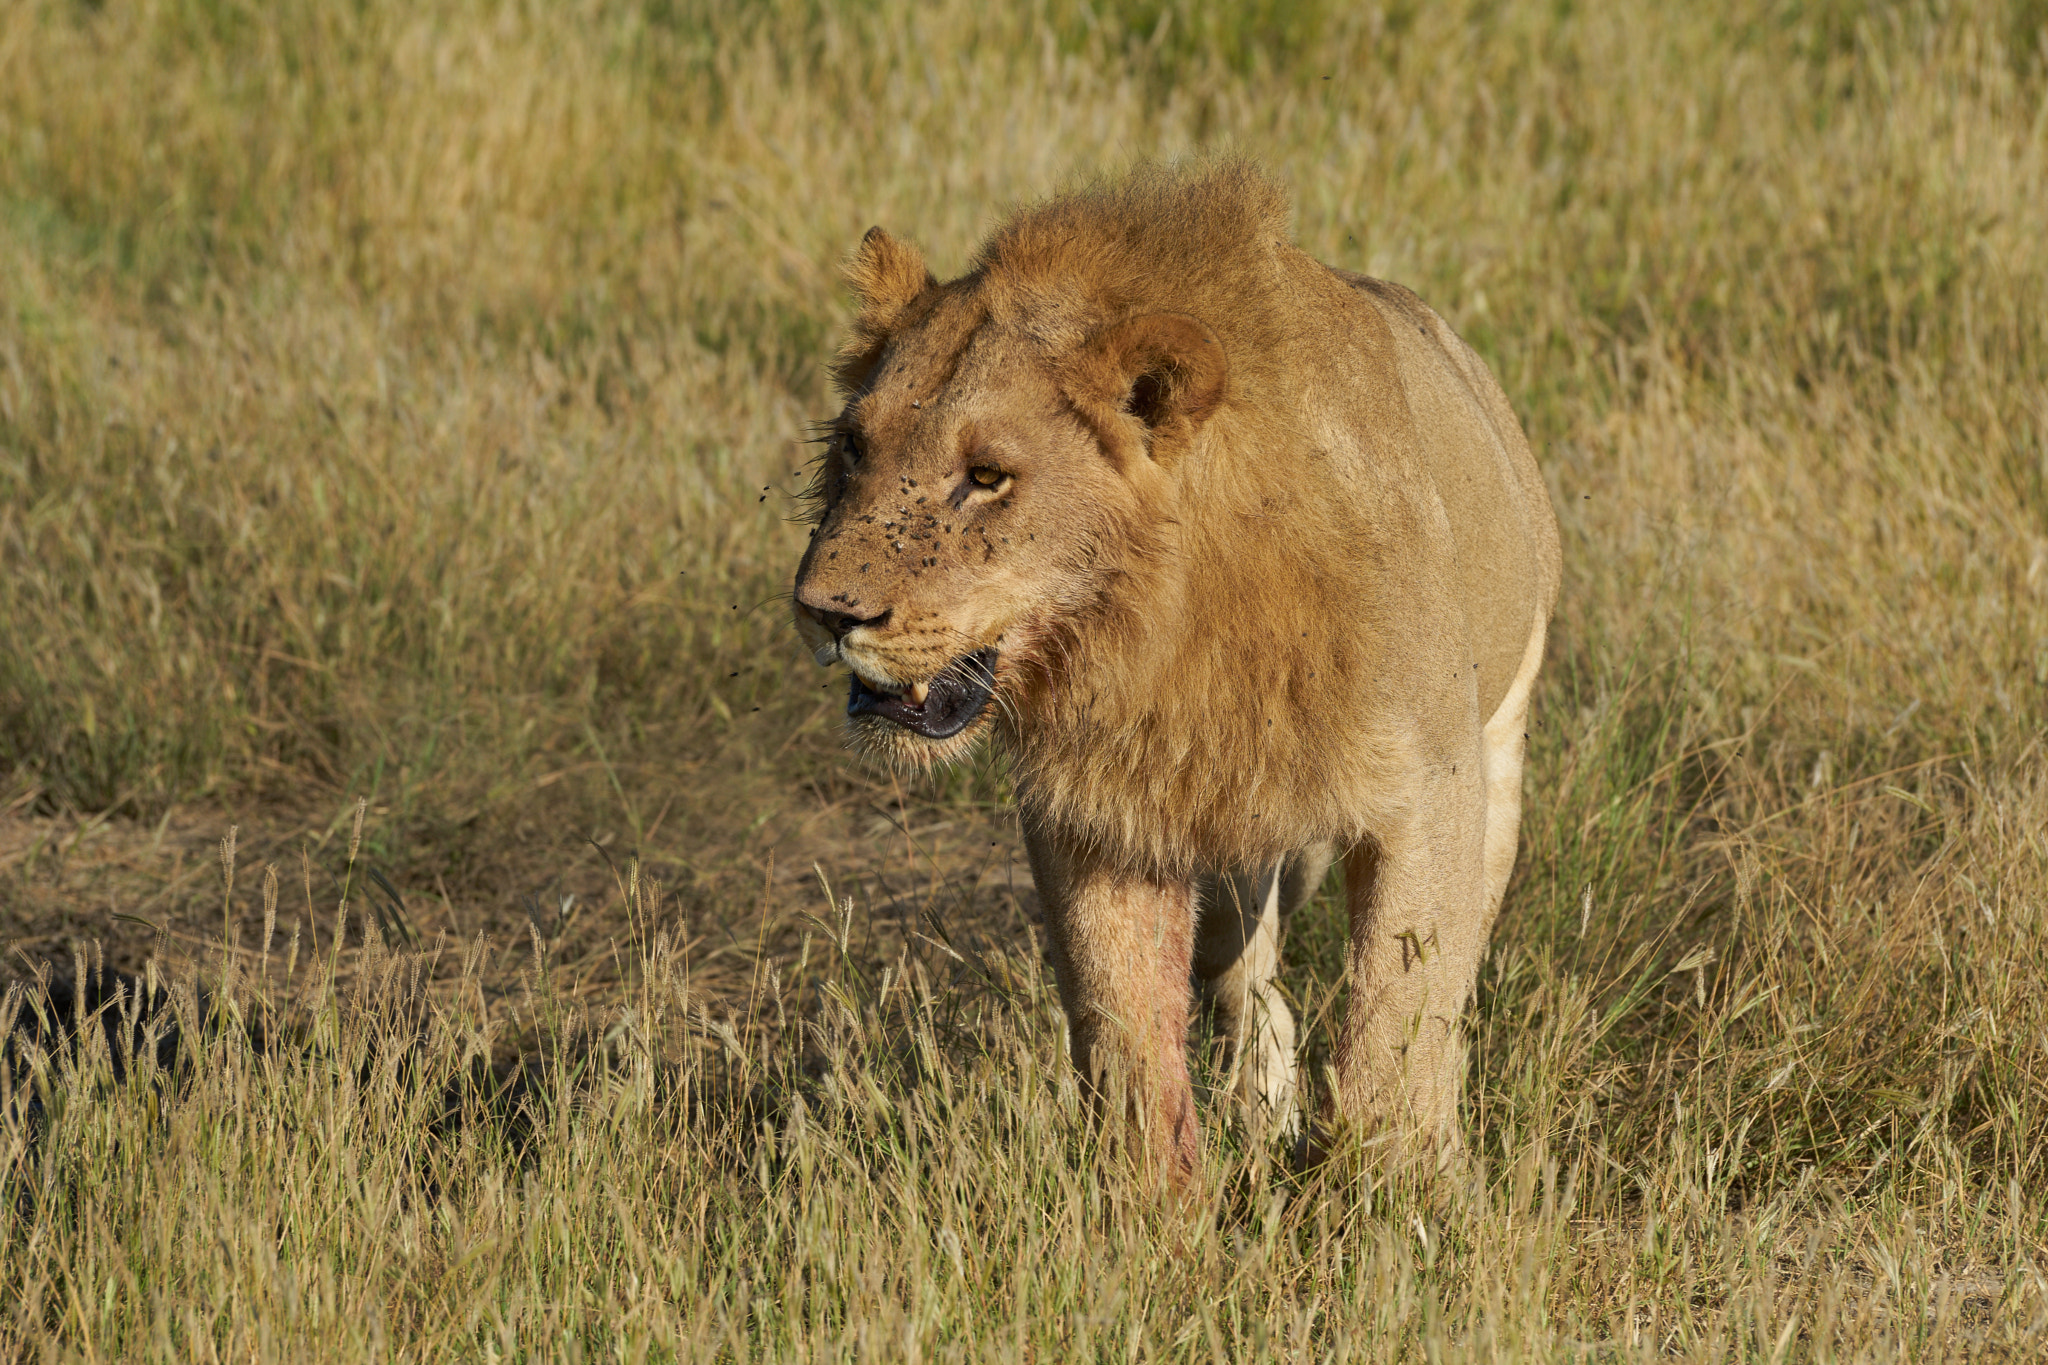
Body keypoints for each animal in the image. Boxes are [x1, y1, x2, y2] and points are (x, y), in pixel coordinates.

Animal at [790, 162, 1556, 1186]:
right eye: (855, 446)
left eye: (987, 477)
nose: (824, 611)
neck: (1164, 628)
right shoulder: (1098, 812)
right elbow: (1124, 1022)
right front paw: (1150, 1200)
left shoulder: (1431, 790)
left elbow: (1398, 1014)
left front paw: (1390, 1191)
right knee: (1245, 980)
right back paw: (1260, 1107)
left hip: (1501, 750)